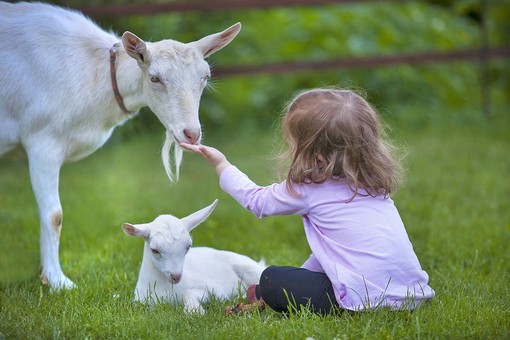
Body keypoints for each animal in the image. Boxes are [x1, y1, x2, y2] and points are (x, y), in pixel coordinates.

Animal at [0, 1, 242, 290]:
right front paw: (58, 281)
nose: (191, 134)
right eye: (154, 78)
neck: (95, 74)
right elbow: (54, 215)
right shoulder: (42, 140)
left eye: (205, 77)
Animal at [122, 199, 266, 314]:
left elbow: (190, 293)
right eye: (154, 250)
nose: (176, 276)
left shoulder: (215, 290)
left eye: (188, 246)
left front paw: (194, 311)